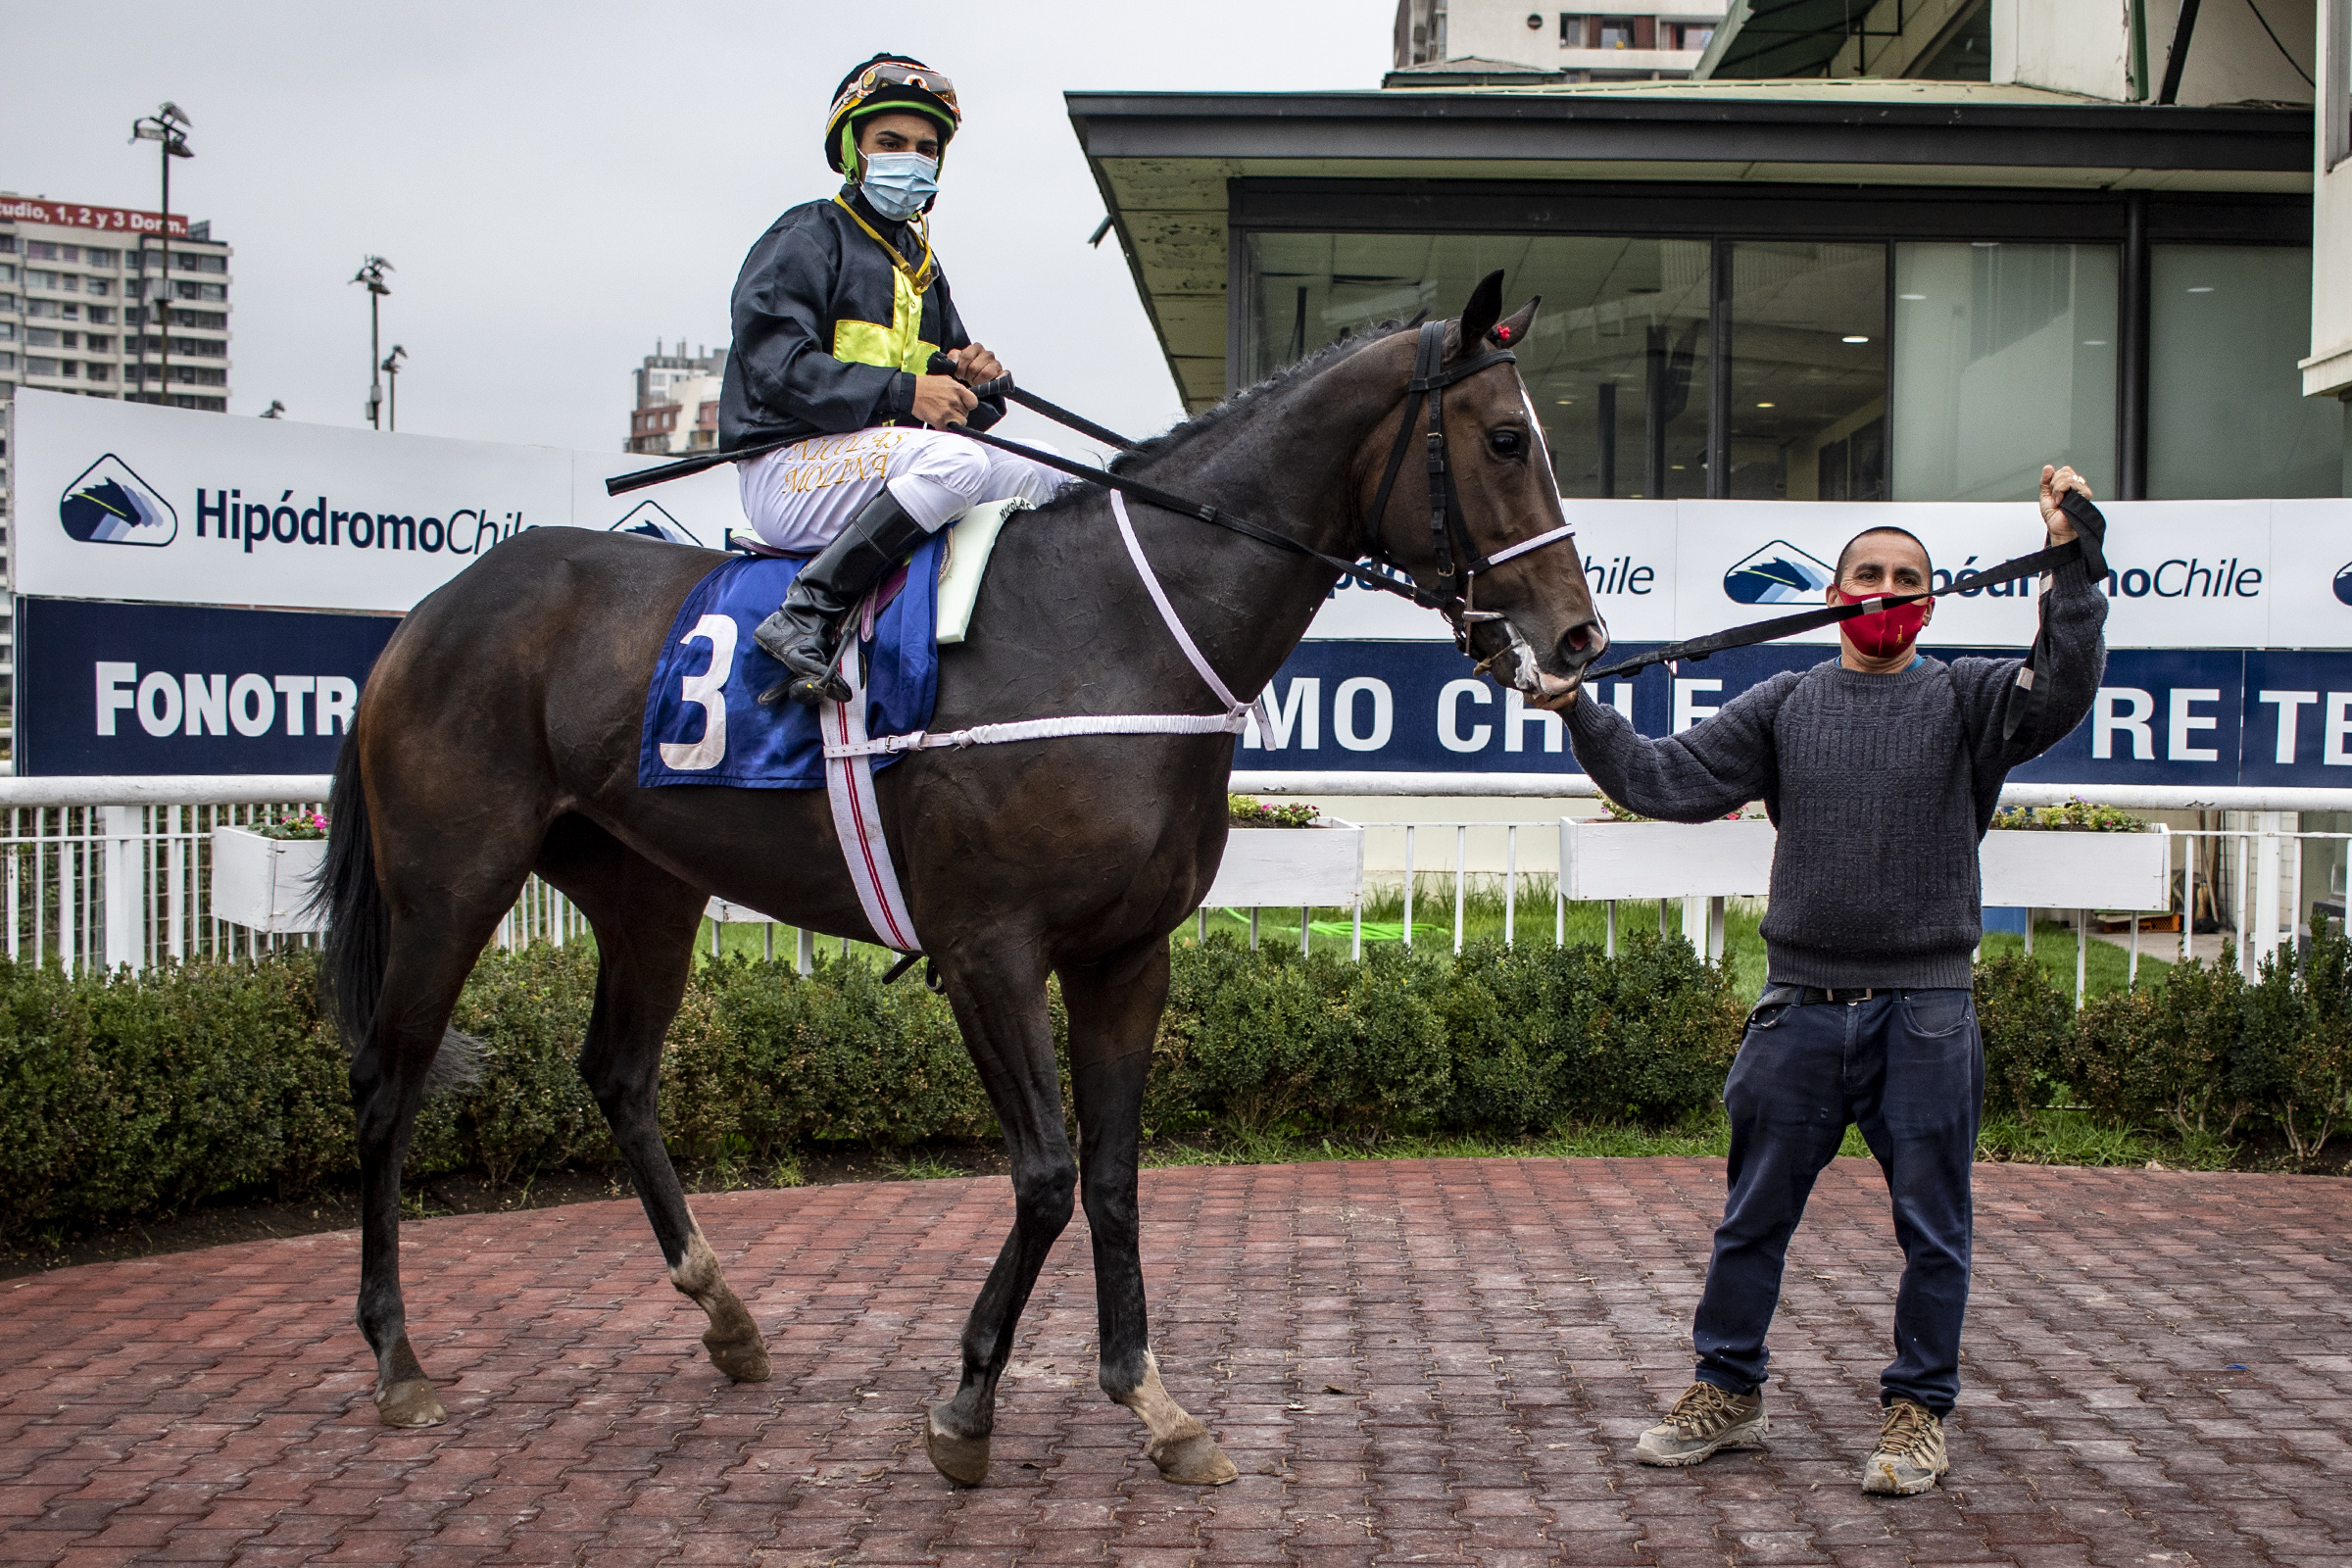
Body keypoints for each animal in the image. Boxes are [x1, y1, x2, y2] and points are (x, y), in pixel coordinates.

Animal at [320, 271, 1608, 1487]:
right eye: (1507, 438)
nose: (1581, 639)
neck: (1120, 631)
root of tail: (428, 611)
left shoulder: (1126, 957)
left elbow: (1114, 1175)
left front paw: (1153, 1402)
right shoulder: (989, 949)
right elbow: (1043, 1174)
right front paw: (969, 1403)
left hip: (649, 891)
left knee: (619, 1075)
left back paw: (726, 1316)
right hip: (451, 882)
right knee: (387, 1085)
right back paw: (396, 1357)